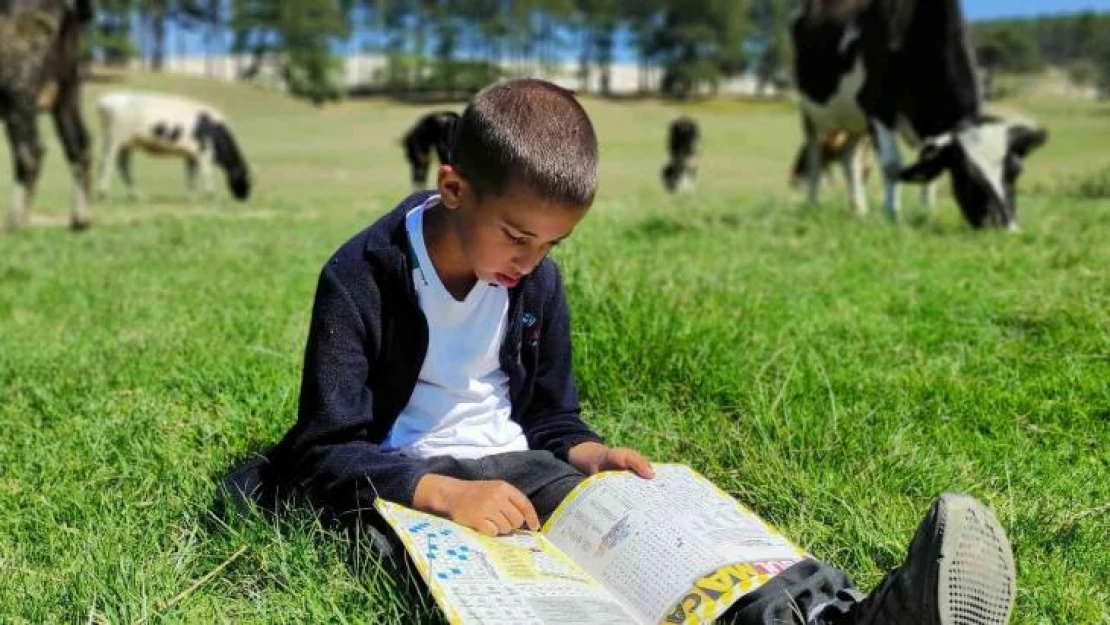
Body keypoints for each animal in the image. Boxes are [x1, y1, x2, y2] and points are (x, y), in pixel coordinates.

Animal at [1, 0, 95, 232]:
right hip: (68, 92)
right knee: (78, 144)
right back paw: (80, 219)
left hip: (19, 94)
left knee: (31, 151)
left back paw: (14, 221)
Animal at [96, 90, 254, 202]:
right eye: (247, 179)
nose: (244, 198)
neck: (214, 128)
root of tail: (108, 101)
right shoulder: (204, 152)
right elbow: (206, 173)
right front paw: (211, 195)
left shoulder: (192, 155)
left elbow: (191, 175)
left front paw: (191, 197)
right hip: (115, 139)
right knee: (107, 163)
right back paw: (103, 193)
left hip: (127, 144)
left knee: (123, 166)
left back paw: (135, 196)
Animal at [794, 0, 1043, 229]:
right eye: (969, 177)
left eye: (1015, 171)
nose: (1008, 228)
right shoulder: (876, 104)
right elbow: (892, 165)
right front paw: (891, 213)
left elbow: (928, 165)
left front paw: (927, 212)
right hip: (810, 112)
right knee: (814, 156)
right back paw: (812, 203)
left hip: (855, 121)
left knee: (849, 157)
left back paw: (859, 209)